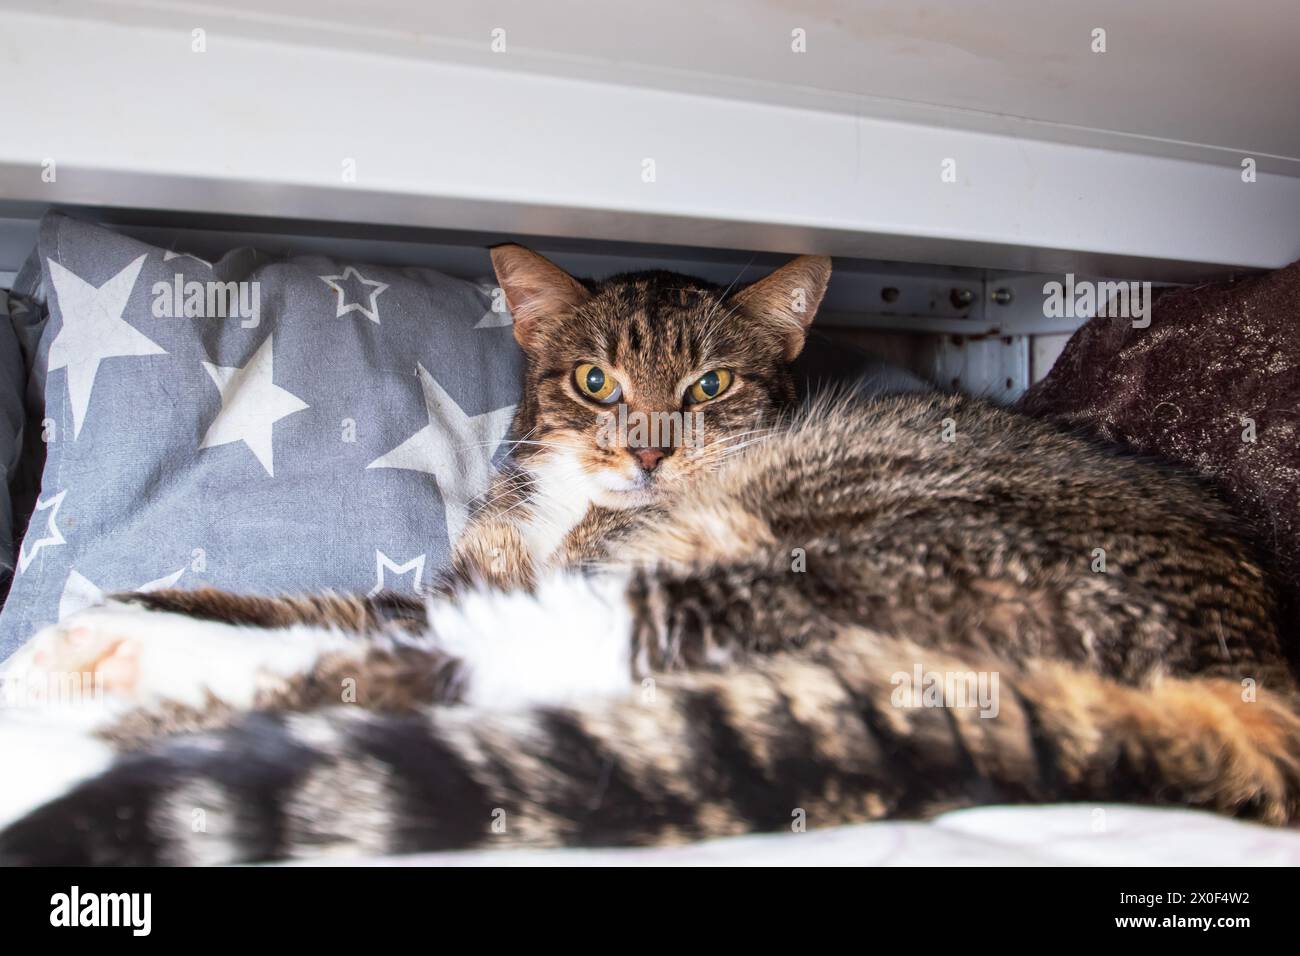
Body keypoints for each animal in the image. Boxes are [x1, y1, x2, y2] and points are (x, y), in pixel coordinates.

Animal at [2, 247, 1300, 868]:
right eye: (594, 380)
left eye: (710, 387)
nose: (644, 448)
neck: (567, 510)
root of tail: (1257, 673)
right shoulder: (475, 564)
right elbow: (347, 598)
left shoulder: (575, 565)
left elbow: (379, 616)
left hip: (831, 549)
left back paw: (114, 666)